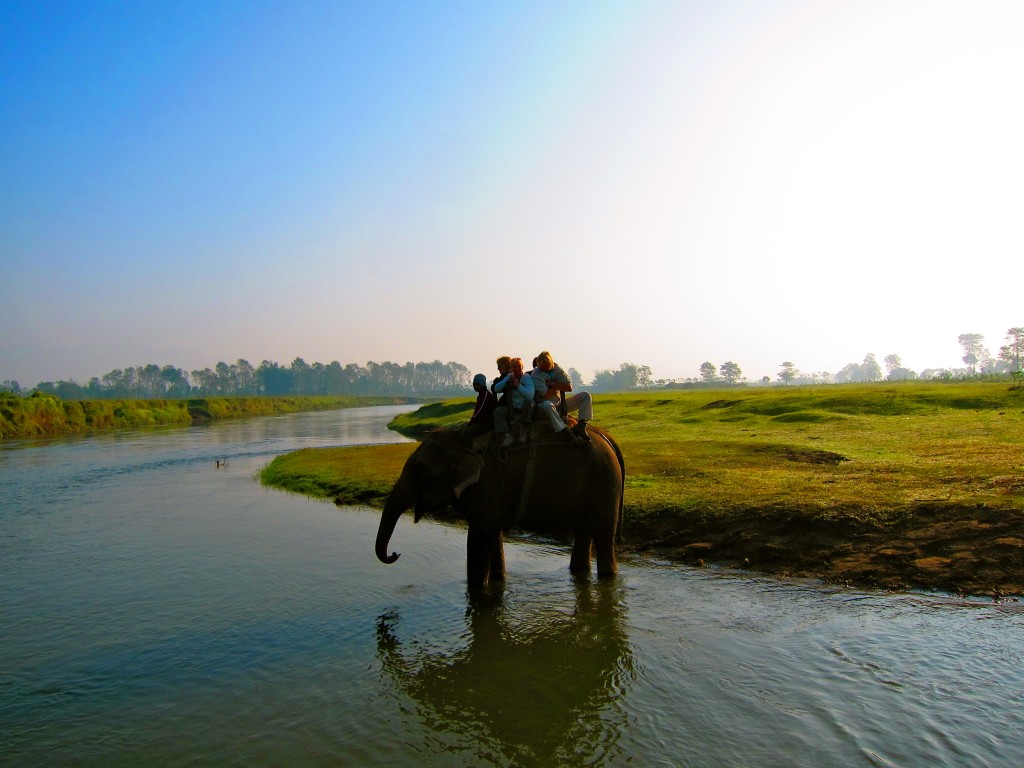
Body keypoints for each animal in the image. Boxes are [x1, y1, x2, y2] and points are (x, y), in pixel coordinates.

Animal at [374, 421, 622, 589]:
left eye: (418, 469)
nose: (395, 554)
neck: (464, 440)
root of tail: (608, 437)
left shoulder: (488, 484)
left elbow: (479, 539)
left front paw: (477, 592)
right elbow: (492, 535)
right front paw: (496, 581)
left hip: (605, 484)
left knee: (603, 535)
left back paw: (607, 577)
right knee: (584, 532)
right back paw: (579, 571)